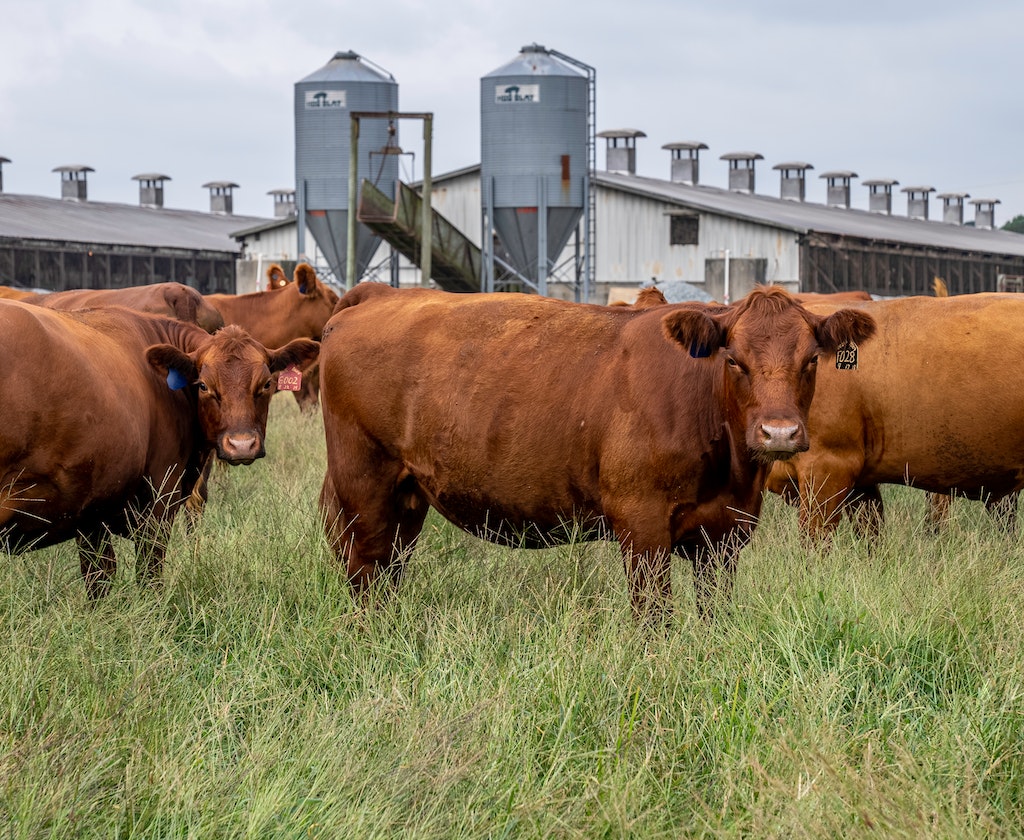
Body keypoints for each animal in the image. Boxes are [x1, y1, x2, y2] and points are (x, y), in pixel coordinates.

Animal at [0, 301, 317, 598]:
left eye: (265, 384)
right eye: (203, 385)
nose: (241, 445)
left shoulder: (91, 506)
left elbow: (99, 577)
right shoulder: (158, 500)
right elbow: (148, 576)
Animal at [317, 282, 872, 618]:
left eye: (810, 360)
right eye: (734, 360)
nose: (779, 433)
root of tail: (382, 292)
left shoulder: (725, 536)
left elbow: (714, 614)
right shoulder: (642, 527)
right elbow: (655, 618)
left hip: (407, 496)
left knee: (388, 570)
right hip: (365, 485)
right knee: (365, 570)